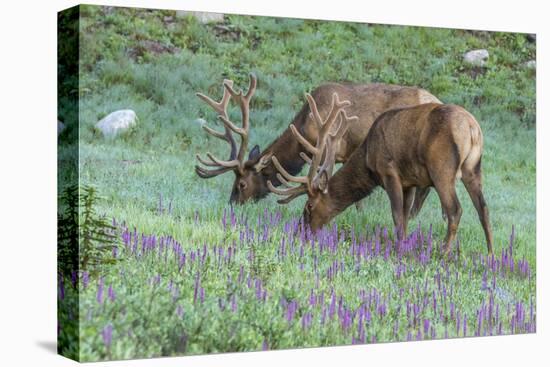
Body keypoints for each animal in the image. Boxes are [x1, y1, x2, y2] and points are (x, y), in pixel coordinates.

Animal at [270, 100, 496, 256]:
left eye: (309, 206)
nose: (300, 233)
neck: (368, 160)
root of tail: (473, 129)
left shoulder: (389, 171)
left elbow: (396, 215)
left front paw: (399, 248)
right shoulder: (410, 182)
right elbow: (405, 216)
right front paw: (404, 243)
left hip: (442, 168)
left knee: (455, 210)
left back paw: (443, 252)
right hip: (473, 168)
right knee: (483, 209)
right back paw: (490, 254)